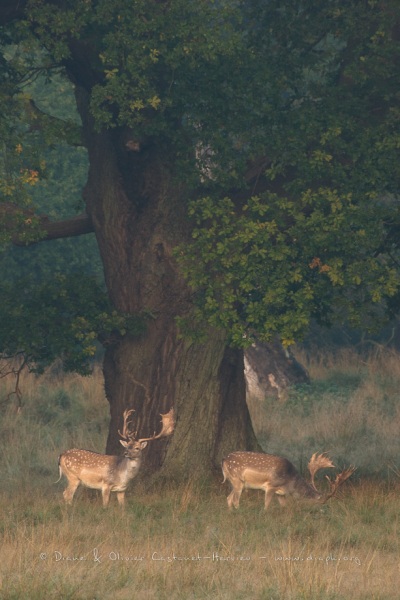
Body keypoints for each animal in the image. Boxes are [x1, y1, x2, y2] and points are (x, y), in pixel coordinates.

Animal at [222, 450, 356, 510]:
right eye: (318, 503)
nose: (322, 510)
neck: (291, 483)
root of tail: (223, 461)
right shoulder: (271, 486)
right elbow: (266, 505)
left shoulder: (281, 493)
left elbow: (284, 506)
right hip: (237, 479)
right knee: (235, 500)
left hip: (235, 482)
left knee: (228, 498)